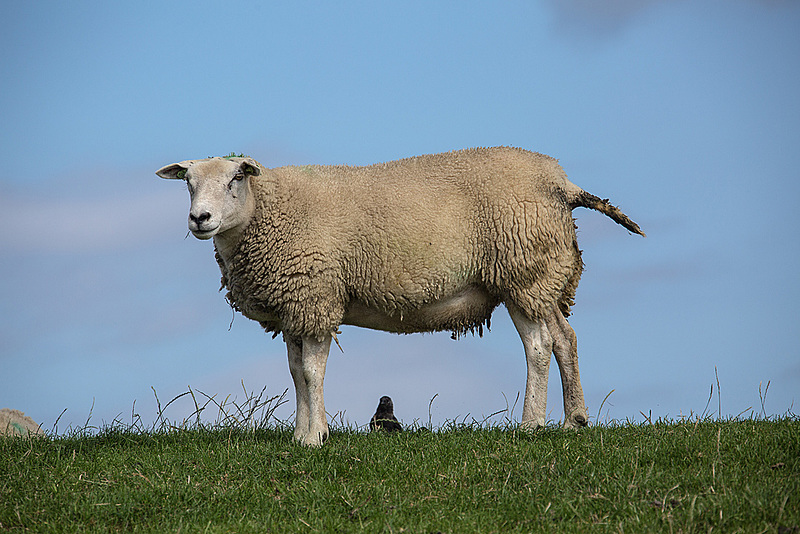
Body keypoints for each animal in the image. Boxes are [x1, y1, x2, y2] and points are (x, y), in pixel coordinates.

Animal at [156, 147, 644, 448]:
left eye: (235, 179)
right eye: (188, 182)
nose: (200, 218)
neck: (269, 211)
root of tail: (560, 181)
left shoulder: (317, 297)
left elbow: (312, 373)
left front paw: (315, 438)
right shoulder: (297, 307)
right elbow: (296, 373)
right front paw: (300, 435)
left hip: (521, 270)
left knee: (540, 346)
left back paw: (531, 425)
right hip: (538, 279)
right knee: (565, 338)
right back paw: (574, 419)